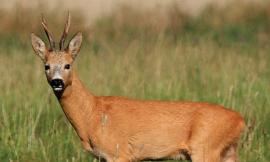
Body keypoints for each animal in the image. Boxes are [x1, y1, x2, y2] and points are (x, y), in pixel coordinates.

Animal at [30, 13, 246, 162]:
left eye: (68, 64)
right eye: (46, 66)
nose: (57, 82)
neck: (93, 115)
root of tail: (240, 120)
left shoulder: (119, 152)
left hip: (205, 148)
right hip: (227, 152)